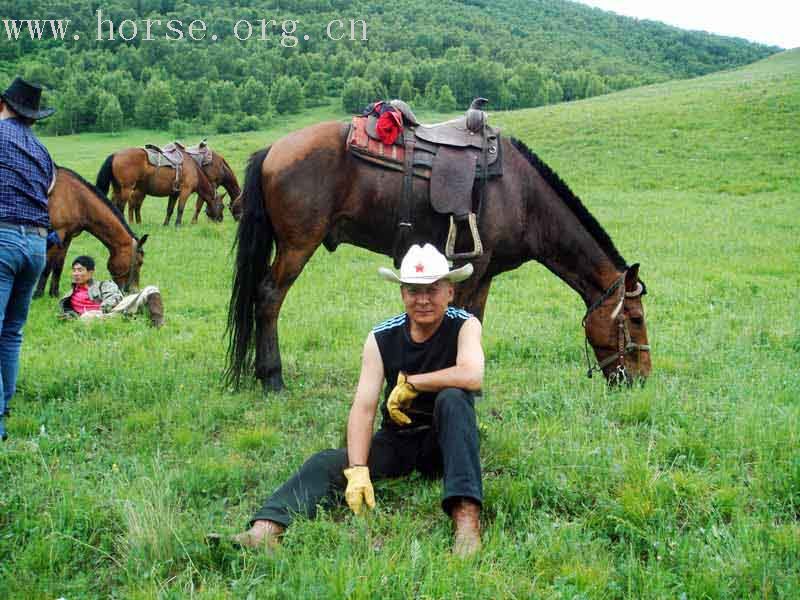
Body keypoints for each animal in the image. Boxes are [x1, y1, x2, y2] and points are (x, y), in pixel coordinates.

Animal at [34, 168, 148, 298]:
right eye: (139, 262)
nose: (134, 291)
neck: (76, 199)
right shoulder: (57, 233)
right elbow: (47, 265)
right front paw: (38, 294)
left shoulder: (67, 237)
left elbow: (59, 264)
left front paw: (54, 293)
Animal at [225, 98, 648, 394]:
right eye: (636, 320)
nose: (641, 378)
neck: (523, 195)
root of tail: (273, 149)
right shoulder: (474, 267)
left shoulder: (486, 273)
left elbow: (475, 321)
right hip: (298, 245)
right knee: (269, 298)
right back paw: (272, 378)